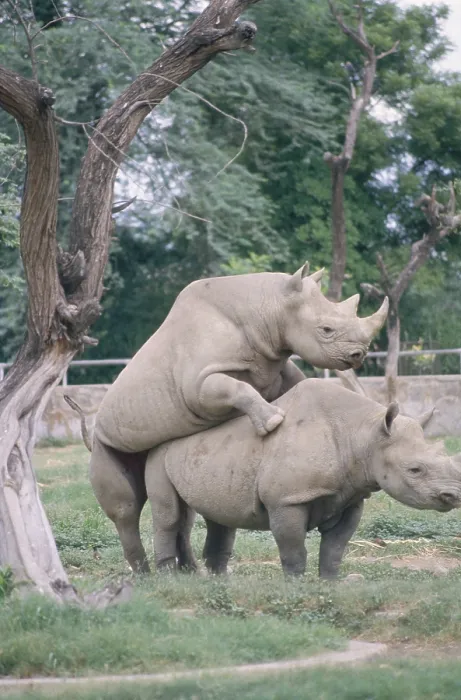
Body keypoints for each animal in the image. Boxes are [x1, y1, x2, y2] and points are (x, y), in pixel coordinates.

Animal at [89, 265, 388, 572]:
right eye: (326, 330)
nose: (359, 354)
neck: (269, 307)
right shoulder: (198, 383)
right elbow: (233, 387)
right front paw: (273, 423)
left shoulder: (274, 365)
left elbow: (293, 382)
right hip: (102, 437)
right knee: (126, 507)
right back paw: (145, 575)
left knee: (185, 510)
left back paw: (190, 572)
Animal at [144, 379, 461, 578]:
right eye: (415, 470)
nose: (454, 496)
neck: (364, 435)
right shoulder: (287, 500)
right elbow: (294, 550)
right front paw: (296, 588)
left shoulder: (351, 495)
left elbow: (334, 549)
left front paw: (329, 585)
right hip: (159, 454)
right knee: (169, 515)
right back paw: (170, 578)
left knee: (215, 515)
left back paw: (217, 580)